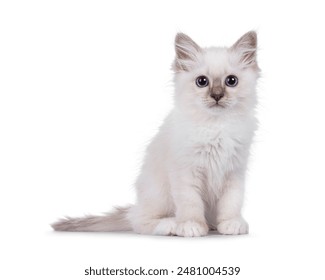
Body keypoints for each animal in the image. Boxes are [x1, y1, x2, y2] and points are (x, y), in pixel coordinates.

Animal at [52, 30, 258, 236]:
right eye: (202, 82)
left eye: (231, 81)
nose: (216, 96)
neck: (216, 126)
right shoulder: (186, 172)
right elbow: (191, 204)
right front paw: (191, 226)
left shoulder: (234, 172)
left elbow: (232, 202)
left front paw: (231, 224)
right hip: (159, 196)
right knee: (140, 221)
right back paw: (172, 225)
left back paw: (212, 225)